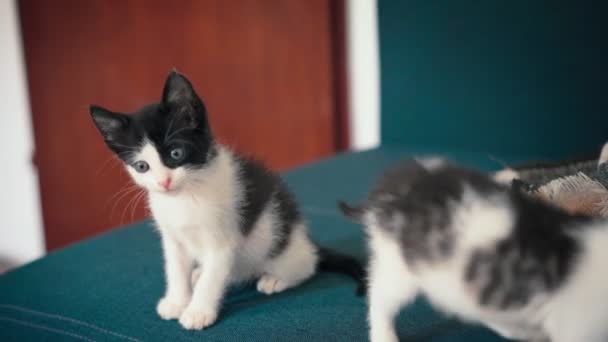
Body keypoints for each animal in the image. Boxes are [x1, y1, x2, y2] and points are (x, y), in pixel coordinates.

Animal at [89, 71, 364, 330]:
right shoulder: (173, 238)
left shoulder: (223, 240)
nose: (164, 182)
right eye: (142, 166)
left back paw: (275, 278)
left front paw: (198, 312)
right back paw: (198, 273)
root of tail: (306, 241)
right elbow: (175, 269)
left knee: (306, 265)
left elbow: (213, 278)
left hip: (281, 247)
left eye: (176, 153)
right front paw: (177, 301)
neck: (186, 196)